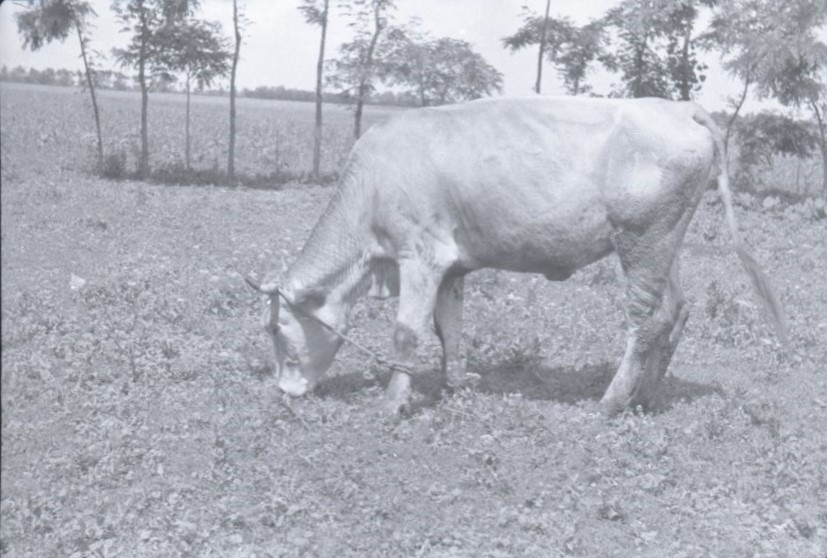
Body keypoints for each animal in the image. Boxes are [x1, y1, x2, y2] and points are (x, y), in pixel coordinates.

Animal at [246, 96, 786, 416]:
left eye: (275, 328)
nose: (284, 390)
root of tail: (679, 108)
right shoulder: (452, 268)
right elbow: (449, 328)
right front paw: (455, 384)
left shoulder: (419, 256)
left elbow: (406, 333)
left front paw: (393, 404)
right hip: (663, 244)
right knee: (675, 311)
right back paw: (646, 396)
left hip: (640, 242)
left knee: (645, 322)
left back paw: (610, 401)